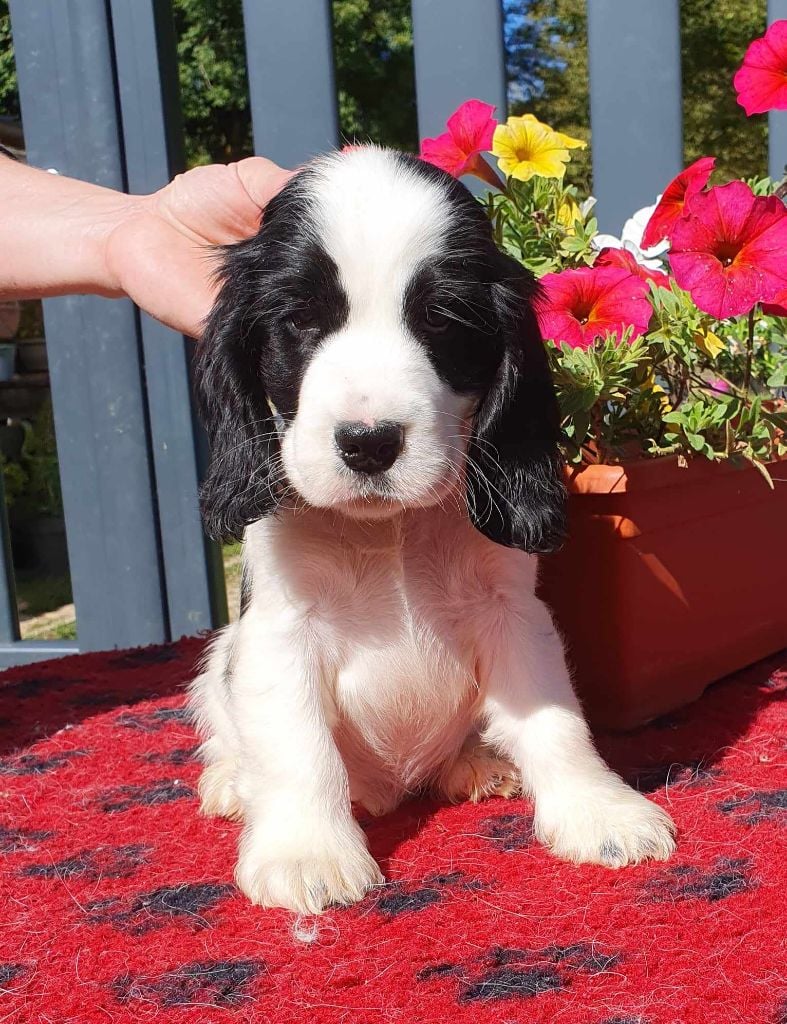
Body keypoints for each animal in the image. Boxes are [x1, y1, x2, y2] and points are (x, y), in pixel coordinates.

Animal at [187, 144, 671, 913]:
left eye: (440, 319)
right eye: (298, 319)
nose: (368, 442)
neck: (390, 532)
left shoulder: (510, 612)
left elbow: (555, 720)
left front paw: (600, 812)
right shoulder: (279, 630)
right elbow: (297, 746)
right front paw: (306, 852)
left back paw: (478, 762)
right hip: (214, 667)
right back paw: (233, 782)